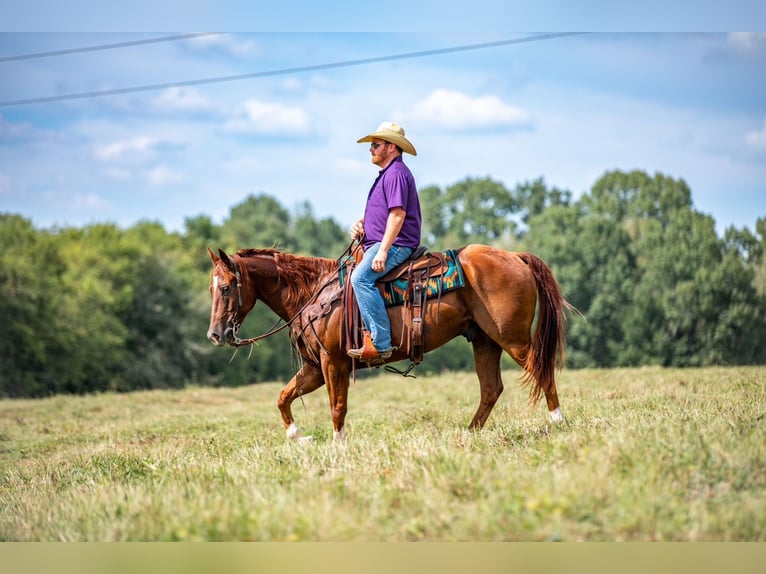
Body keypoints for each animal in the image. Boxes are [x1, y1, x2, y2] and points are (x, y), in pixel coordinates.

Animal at [207, 244, 571, 442]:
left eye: (225, 287)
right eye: (211, 289)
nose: (215, 334)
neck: (313, 292)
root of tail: (516, 257)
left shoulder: (334, 362)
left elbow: (337, 407)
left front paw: (338, 448)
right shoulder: (315, 368)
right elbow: (283, 397)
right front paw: (299, 437)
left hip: (513, 340)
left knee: (541, 370)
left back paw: (558, 422)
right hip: (484, 341)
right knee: (491, 389)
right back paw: (468, 433)